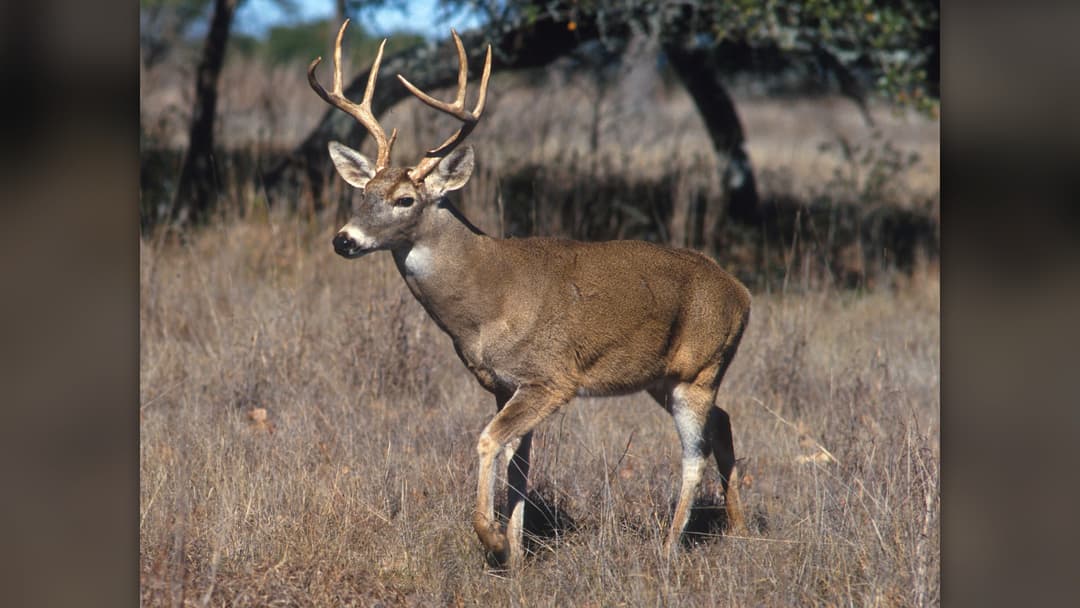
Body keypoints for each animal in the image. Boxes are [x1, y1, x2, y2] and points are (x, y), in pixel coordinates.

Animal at [310, 20, 752, 569]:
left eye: (405, 199)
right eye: (363, 193)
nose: (344, 240)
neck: (485, 302)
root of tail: (742, 294)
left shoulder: (551, 377)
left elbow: (488, 442)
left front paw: (493, 540)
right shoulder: (505, 383)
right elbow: (519, 464)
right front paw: (518, 554)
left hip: (699, 368)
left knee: (694, 453)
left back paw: (669, 548)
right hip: (665, 377)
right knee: (724, 423)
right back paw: (739, 530)